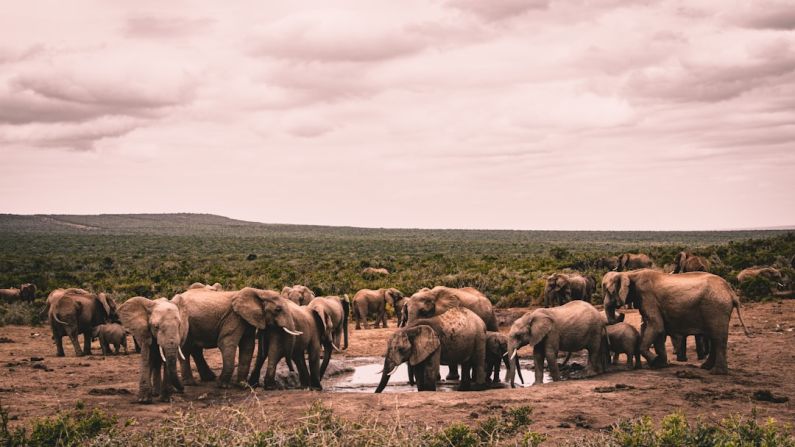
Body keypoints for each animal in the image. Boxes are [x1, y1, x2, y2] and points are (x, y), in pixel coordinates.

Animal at [604, 270, 752, 374]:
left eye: (610, 291)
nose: (622, 313)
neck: (630, 273)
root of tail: (731, 292)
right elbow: (658, 329)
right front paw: (661, 365)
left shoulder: (648, 297)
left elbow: (656, 326)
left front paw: (655, 362)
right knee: (714, 336)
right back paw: (705, 367)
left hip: (716, 307)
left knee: (717, 337)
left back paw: (716, 372)